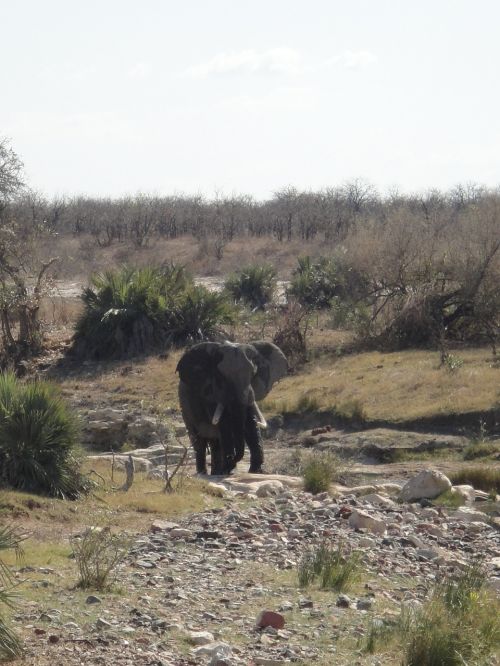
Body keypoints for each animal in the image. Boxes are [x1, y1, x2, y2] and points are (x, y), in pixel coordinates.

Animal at [176, 340, 288, 474]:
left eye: (253, 374)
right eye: (220, 377)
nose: (231, 457)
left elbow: (250, 423)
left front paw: (255, 471)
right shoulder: (211, 393)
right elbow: (225, 423)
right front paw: (229, 469)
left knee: (215, 444)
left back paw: (217, 472)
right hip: (185, 408)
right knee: (199, 442)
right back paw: (205, 472)